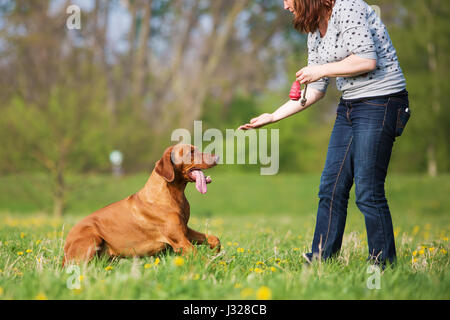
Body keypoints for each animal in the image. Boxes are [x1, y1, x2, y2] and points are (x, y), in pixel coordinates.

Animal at [62, 144, 221, 264]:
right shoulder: (180, 241)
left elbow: (214, 238)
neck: (173, 195)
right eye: (191, 152)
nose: (218, 156)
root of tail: (65, 249)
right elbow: (202, 259)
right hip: (92, 238)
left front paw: (217, 252)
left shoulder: (185, 231)